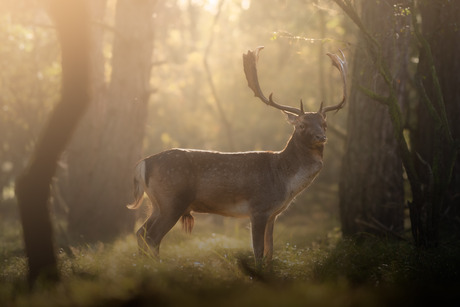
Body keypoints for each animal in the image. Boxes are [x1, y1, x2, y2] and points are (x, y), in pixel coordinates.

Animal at [127, 47, 346, 266]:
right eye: (301, 125)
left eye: (324, 123)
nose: (321, 137)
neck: (284, 180)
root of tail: (143, 163)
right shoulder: (258, 208)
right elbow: (258, 251)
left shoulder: (273, 214)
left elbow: (270, 251)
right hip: (172, 199)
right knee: (152, 236)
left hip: (156, 203)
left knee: (141, 232)